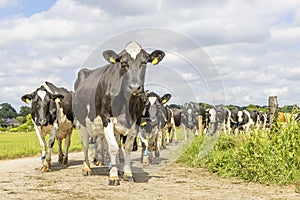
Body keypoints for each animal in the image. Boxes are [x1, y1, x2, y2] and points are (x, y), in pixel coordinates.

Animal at [72, 42, 166, 186]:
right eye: (123, 63)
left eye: (145, 62)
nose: (135, 87)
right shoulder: (106, 119)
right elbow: (113, 148)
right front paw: (113, 176)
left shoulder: (136, 121)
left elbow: (126, 147)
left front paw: (127, 173)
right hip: (82, 123)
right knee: (86, 145)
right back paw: (86, 168)